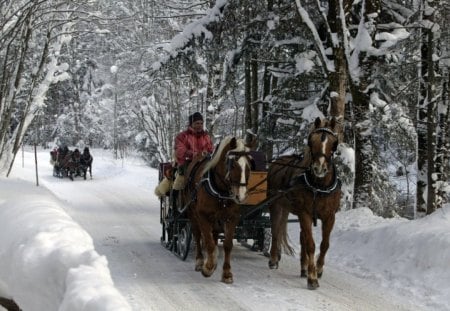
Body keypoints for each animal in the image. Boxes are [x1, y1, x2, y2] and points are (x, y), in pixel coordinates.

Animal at [181, 138, 255, 284]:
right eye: (233, 165)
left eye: (249, 166)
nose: (241, 196)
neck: (221, 191)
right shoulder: (203, 215)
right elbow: (208, 243)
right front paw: (208, 267)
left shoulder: (232, 217)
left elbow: (227, 245)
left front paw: (226, 273)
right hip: (193, 214)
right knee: (198, 235)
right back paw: (200, 261)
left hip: (215, 219)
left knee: (213, 235)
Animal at [268, 117, 342, 290]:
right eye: (311, 141)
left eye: (333, 143)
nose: (319, 168)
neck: (319, 186)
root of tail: (278, 161)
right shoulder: (305, 213)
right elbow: (310, 244)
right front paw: (312, 278)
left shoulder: (330, 216)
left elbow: (324, 244)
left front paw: (318, 269)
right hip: (276, 205)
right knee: (275, 230)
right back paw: (274, 258)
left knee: (299, 236)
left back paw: (303, 267)